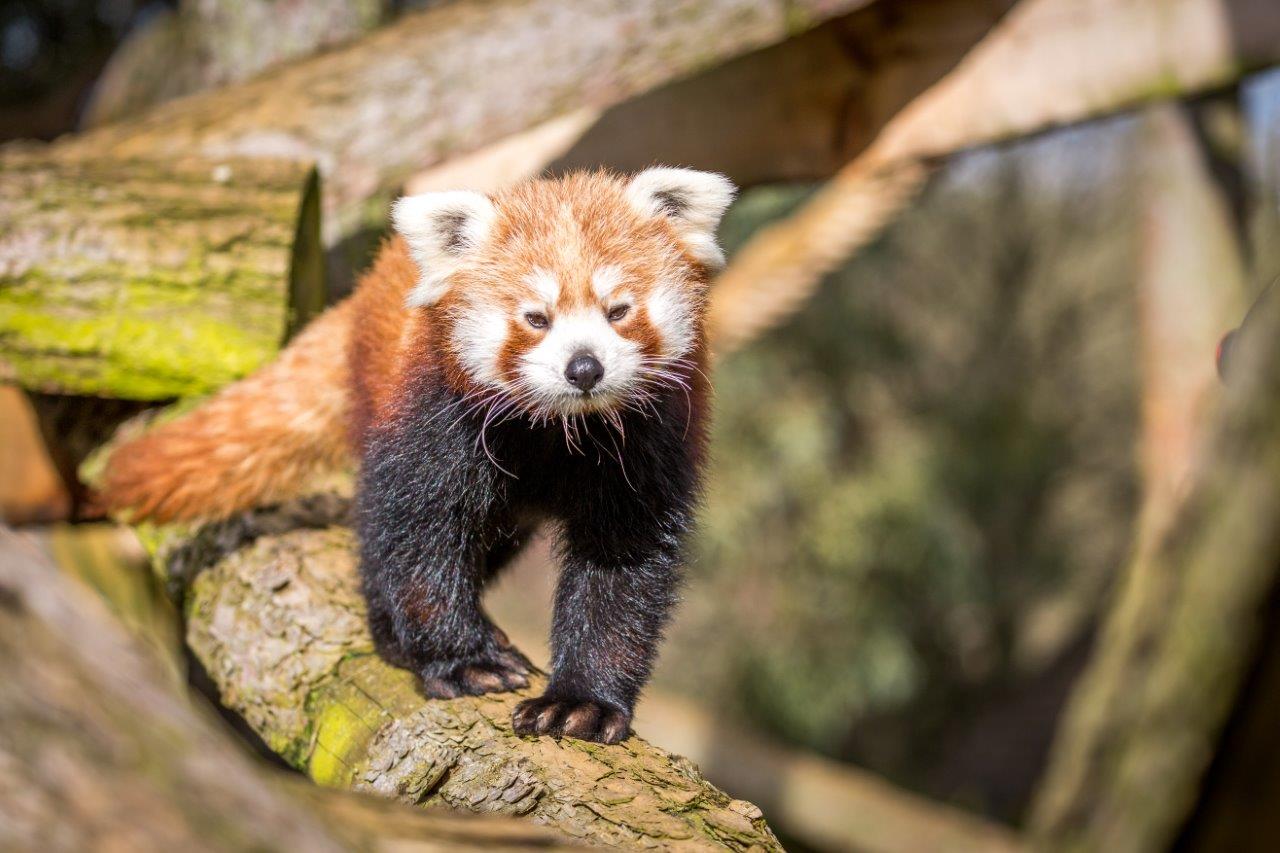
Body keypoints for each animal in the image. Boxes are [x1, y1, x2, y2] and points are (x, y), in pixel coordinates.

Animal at [98, 166, 737, 737]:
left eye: (618, 310)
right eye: (535, 318)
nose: (584, 368)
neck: (559, 432)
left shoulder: (648, 444)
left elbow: (621, 569)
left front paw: (583, 702)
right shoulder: (438, 421)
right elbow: (417, 536)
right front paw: (463, 661)